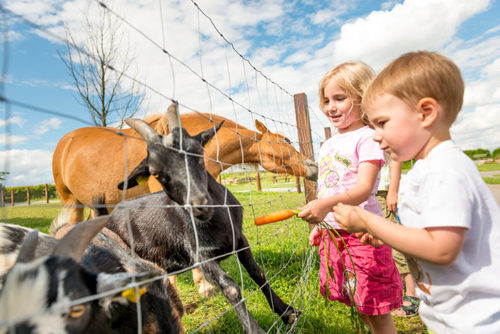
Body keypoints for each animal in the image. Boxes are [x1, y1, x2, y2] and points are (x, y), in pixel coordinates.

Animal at [99, 102, 298, 334]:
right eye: (155, 172)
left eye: (198, 152)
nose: (199, 204)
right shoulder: (199, 254)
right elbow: (230, 287)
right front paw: (254, 329)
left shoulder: (240, 239)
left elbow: (258, 273)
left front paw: (286, 312)